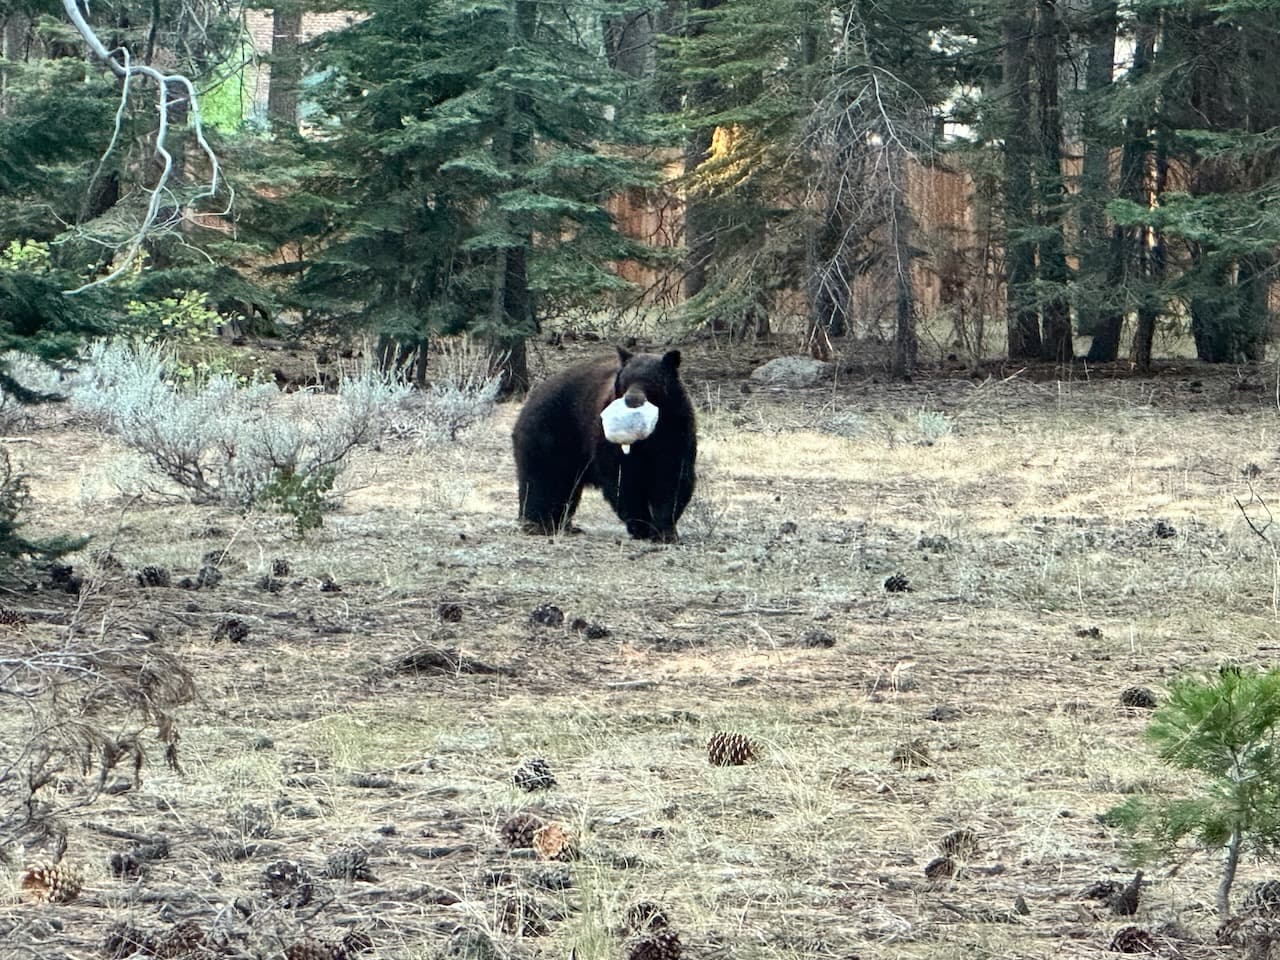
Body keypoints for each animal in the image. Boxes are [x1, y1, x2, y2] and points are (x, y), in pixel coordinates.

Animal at [513, 348, 697, 542]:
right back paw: (538, 523)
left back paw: (564, 525)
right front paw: (641, 525)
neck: (653, 431)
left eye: (651, 381)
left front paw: (664, 531)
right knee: (543, 479)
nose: (632, 399)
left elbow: (672, 476)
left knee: (565, 488)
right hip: (551, 433)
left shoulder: (675, 430)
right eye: (626, 380)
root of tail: (530, 399)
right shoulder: (604, 436)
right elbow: (622, 478)